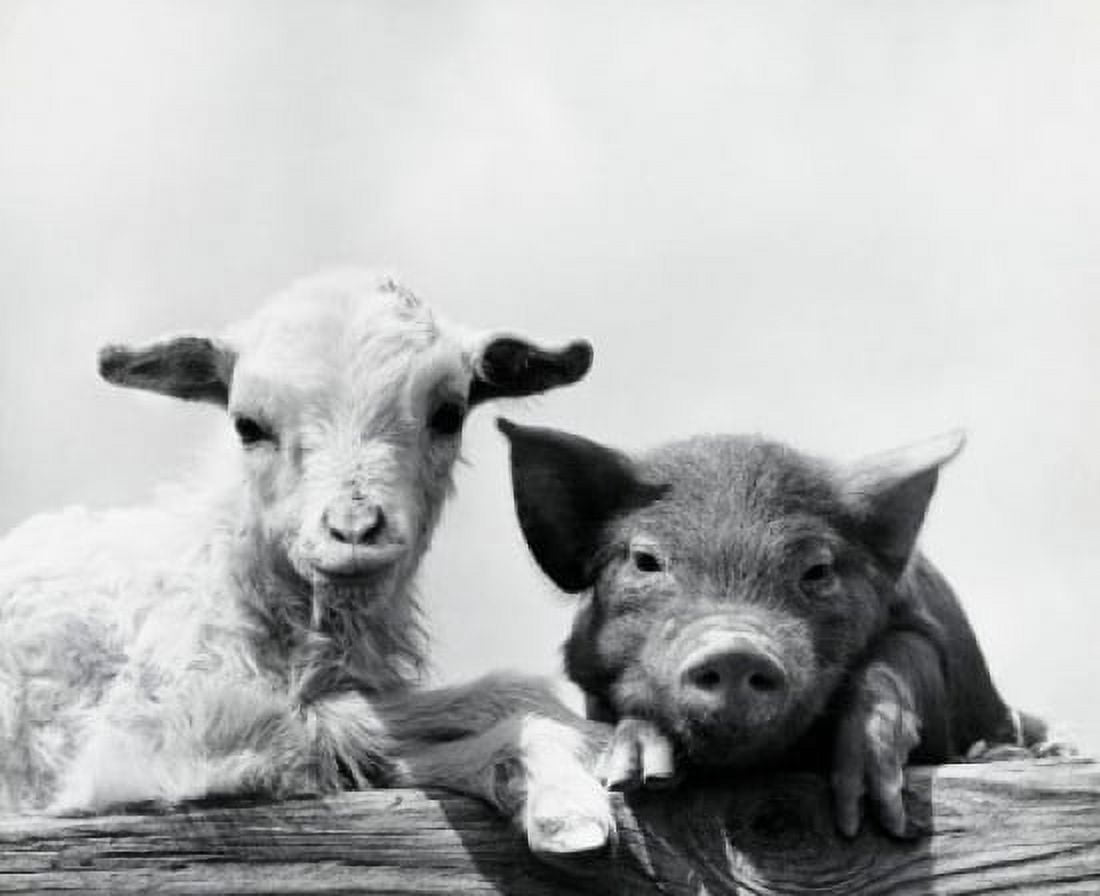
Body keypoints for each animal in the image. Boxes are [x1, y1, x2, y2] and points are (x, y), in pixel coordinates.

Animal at [0, 270, 613, 855]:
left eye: (448, 414)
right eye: (247, 426)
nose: (354, 531)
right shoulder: (160, 738)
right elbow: (361, 730)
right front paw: (567, 788)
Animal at [496, 420, 1052, 837]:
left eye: (818, 570)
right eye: (645, 560)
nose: (735, 650)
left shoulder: (923, 633)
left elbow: (897, 665)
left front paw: (866, 804)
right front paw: (635, 771)